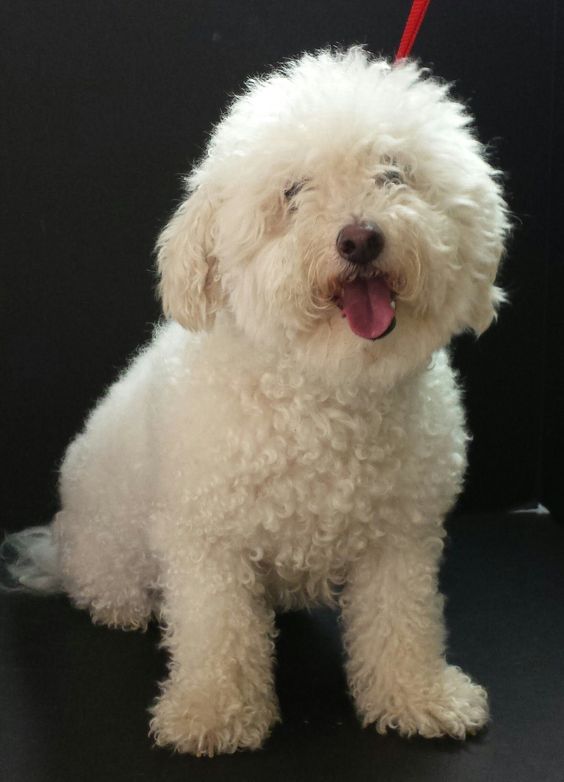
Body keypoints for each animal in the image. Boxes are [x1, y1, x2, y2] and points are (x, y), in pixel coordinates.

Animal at [2, 47, 508, 752]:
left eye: (393, 173)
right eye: (293, 193)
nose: (359, 238)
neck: (326, 393)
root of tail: (60, 542)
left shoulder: (400, 540)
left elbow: (401, 624)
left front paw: (418, 697)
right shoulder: (206, 540)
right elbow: (217, 633)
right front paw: (212, 712)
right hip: (110, 541)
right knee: (106, 582)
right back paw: (121, 606)